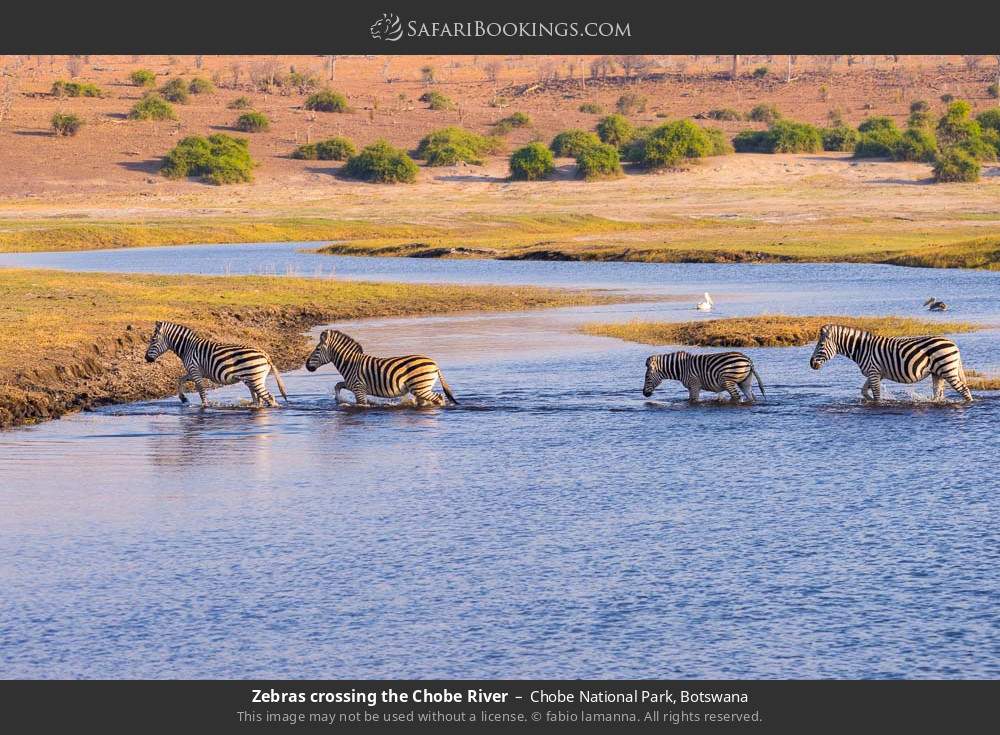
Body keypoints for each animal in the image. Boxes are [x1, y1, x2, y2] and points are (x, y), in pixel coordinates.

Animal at [144, 320, 290, 408]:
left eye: (153, 340)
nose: (146, 358)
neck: (188, 348)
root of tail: (266, 355)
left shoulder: (195, 371)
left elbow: (201, 391)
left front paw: (205, 406)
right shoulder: (195, 372)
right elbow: (180, 379)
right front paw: (183, 398)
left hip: (254, 379)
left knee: (269, 398)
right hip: (255, 379)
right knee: (260, 399)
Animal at [304, 330, 460, 408]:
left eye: (317, 349)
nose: (306, 366)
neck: (350, 363)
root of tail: (434, 364)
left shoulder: (359, 388)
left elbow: (362, 404)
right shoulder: (353, 384)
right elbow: (337, 385)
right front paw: (338, 400)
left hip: (421, 387)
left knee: (439, 397)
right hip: (421, 388)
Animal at [804, 322, 976, 402]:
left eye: (820, 345)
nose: (811, 364)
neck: (861, 348)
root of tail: (953, 344)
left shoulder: (873, 372)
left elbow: (877, 395)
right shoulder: (876, 373)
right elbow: (864, 391)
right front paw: (868, 399)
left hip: (948, 370)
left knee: (964, 390)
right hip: (938, 373)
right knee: (938, 394)